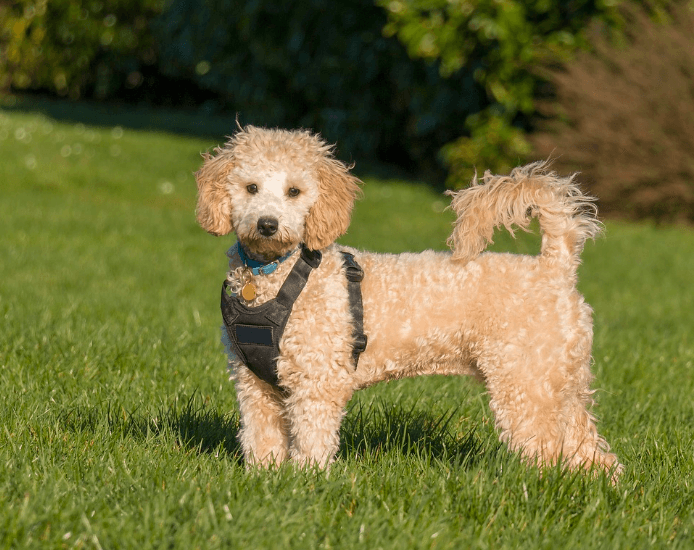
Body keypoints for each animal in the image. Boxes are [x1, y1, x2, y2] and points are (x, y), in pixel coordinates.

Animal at [194, 124, 620, 474]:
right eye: (251, 187)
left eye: (294, 191)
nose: (267, 224)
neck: (276, 276)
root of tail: (555, 265)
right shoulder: (254, 384)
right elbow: (262, 440)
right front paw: (265, 481)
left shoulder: (317, 382)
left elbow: (312, 441)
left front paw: (304, 483)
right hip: (560, 383)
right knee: (590, 451)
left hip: (525, 383)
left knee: (548, 449)